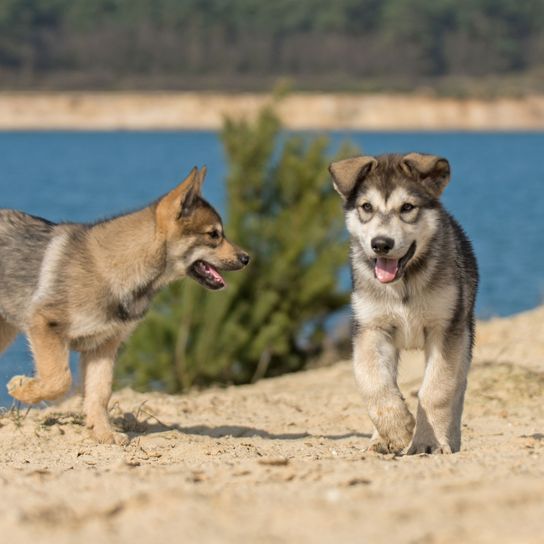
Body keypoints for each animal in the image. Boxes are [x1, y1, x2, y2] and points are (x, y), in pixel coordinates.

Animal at [330, 154, 478, 454]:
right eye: (366, 207)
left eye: (407, 207)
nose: (381, 244)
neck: (404, 284)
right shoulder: (371, 329)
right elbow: (373, 381)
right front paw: (396, 430)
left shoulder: (445, 329)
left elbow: (436, 390)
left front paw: (429, 442)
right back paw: (379, 439)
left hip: (465, 334)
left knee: (457, 388)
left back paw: (450, 438)